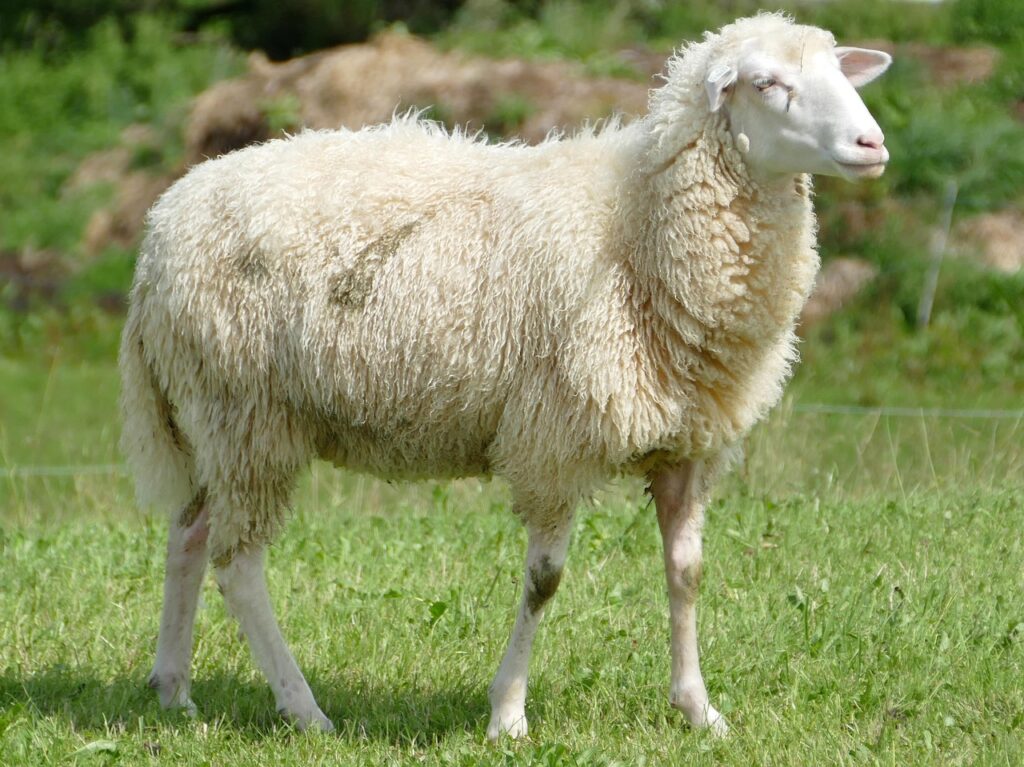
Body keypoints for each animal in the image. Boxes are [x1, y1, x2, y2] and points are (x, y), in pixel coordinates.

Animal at [120, 13, 891, 739]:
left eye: (840, 71)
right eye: (766, 84)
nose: (872, 145)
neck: (637, 224)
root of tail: (161, 228)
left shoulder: (689, 445)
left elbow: (687, 573)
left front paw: (700, 710)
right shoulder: (553, 440)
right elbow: (544, 582)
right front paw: (508, 714)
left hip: (216, 417)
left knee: (188, 534)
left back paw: (174, 689)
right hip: (246, 412)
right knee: (238, 565)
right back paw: (304, 708)